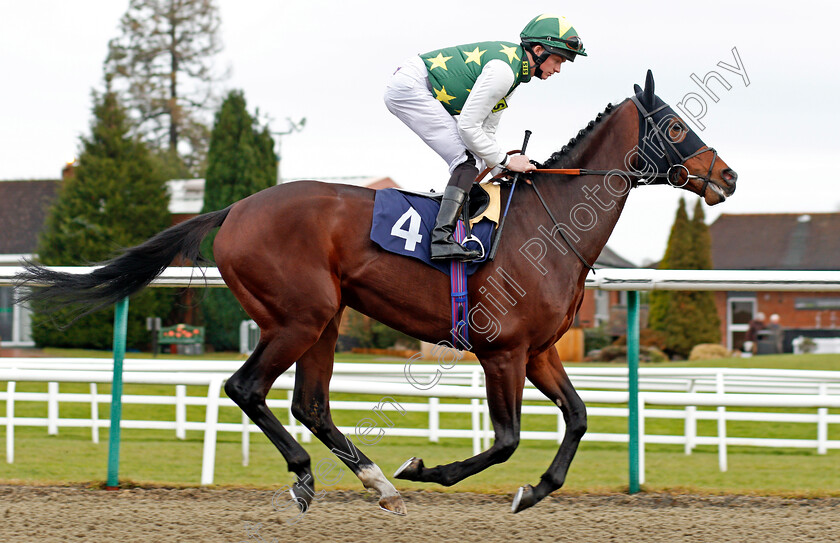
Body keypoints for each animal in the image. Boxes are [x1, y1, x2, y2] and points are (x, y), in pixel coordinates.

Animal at [13, 70, 736, 516]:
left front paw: (534, 491)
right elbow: (505, 439)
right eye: (676, 127)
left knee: (308, 402)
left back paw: (375, 482)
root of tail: (234, 209)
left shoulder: (540, 351)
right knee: (248, 389)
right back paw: (325, 475)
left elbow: (580, 419)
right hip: (299, 316)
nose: (727, 175)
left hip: (326, 319)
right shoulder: (501, 350)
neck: (549, 223)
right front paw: (427, 469)